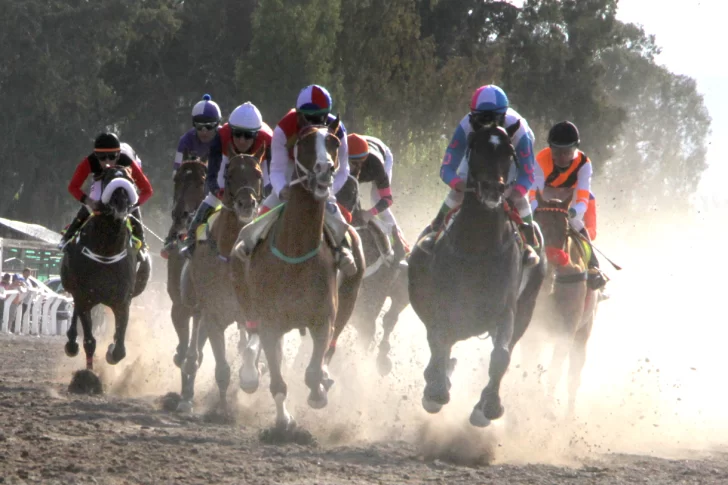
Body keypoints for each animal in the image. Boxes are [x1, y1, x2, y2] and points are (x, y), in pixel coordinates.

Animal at [180, 147, 264, 412]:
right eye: (229, 174)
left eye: (258, 174)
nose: (246, 203)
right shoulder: (214, 315)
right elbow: (222, 369)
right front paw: (223, 411)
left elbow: (252, 348)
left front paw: (251, 375)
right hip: (194, 299)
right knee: (196, 330)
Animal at [232, 117, 364, 432]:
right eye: (304, 142)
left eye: (334, 142)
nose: (324, 168)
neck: (295, 252)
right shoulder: (270, 321)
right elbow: (278, 381)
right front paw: (284, 421)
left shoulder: (322, 319)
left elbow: (313, 370)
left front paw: (318, 392)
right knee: (252, 335)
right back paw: (249, 372)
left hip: (350, 295)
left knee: (332, 343)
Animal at [406, 124, 544, 428]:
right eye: (477, 148)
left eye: (509, 152)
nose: (494, 188)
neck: (479, 246)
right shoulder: (442, 305)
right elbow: (439, 340)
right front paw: (436, 390)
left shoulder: (507, 309)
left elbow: (501, 355)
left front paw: (488, 406)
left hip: (528, 306)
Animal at [528, 192, 600, 416]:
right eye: (539, 225)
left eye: (564, 230)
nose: (550, 262)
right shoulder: (532, 328)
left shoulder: (567, 331)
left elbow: (556, 371)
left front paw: (547, 408)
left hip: (583, 333)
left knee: (573, 377)